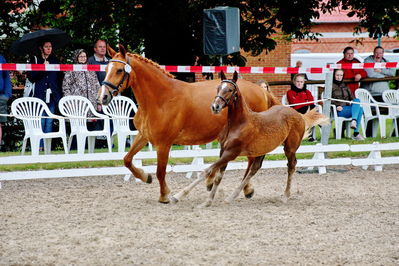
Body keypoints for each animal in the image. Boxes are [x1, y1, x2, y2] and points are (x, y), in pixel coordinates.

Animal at [172, 70, 328, 206]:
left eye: (230, 89)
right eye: (218, 87)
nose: (215, 106)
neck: (238, 124)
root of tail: (298, 114)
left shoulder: (231, 153)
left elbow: (207, 171)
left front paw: (178, 196)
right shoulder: (223, 151)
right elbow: (218, 176)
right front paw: (208, 201)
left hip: (290, 148)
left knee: (291, 165)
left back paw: (285, 196)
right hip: (262, 150)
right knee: (254, 168)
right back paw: (232, 197)